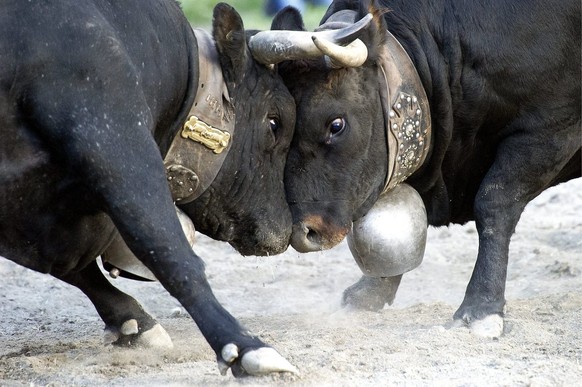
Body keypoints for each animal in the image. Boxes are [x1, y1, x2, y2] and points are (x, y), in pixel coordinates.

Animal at [1, 0, 296, 376]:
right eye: (275, 123)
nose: (285, 230)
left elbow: (68, 265)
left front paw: (134, 322)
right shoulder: (115, 140)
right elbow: (166, 248)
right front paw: (245, 346)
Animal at [262, 0, 582, 338]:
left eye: (336, 124)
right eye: (276, 124)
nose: (302, 231)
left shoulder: (550, 130)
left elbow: (494, 203)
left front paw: (481, 306)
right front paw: (372, 291)